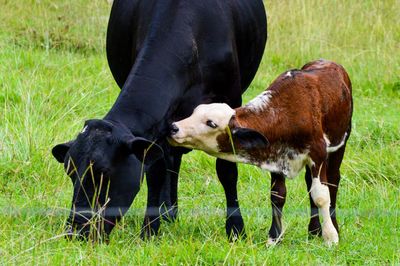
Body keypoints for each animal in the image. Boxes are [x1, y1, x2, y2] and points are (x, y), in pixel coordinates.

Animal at [51, 0, 268, 240]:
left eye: (104, 172)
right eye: (70, 173)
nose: (76, 232)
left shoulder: (229, 104)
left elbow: (227, 170)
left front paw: (236, 229)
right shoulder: (159, 126)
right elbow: (156, 170)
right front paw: (150, 229)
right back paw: (168, 213)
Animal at [170, 60, 352, 245]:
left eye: (211, 123)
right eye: (194, 112)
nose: (174, 127)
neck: (287, 113)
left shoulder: (318, 154)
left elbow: (321, 195)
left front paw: (331, 237)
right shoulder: (277, 156)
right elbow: (277, 195)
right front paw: (274, 238)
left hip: (340, 143)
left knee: (333, 181)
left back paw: (331, 227)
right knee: (309, 182)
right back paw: (314, 230)